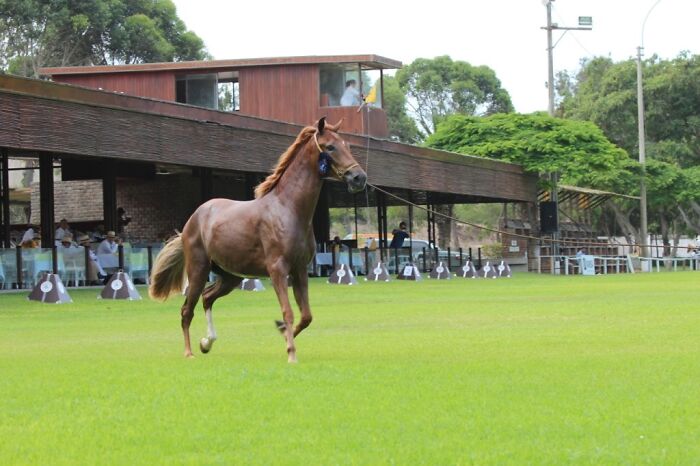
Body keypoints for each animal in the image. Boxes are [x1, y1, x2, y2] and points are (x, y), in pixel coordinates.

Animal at [148, 118, 367, 362]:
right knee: (187, 309)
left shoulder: (300, 270)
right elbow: (288, 312)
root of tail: (193, 220)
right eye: (330, 147)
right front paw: (291, 354)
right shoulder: (277, 270)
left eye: (347, 145)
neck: (288, 209)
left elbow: (306, 316)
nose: (359, 178)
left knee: (207, 298)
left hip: (230, 276)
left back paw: (206, 342)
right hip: (198, 270)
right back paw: (189, 352)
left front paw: (283, 335)